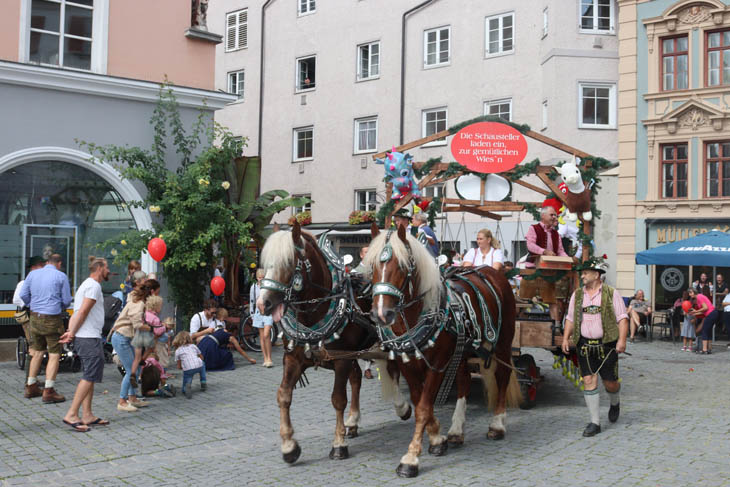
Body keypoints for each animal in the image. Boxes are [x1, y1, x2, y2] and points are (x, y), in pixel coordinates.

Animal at [256, 221, 406, 466]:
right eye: (265, 263)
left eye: (287, 262)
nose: (262, 303)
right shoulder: (294, 358)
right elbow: (284, 395)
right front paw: (289, 446)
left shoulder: (340, 359)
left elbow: (338, 399)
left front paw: (338, 445)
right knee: (357, 378)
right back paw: (352, 422)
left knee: (392, 370)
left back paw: (401, 407)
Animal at [364, 223, 516, 478]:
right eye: (372, 265)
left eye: (402, 266)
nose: (381, 314)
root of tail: (493, 272)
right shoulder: (408, 365)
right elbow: (419, 402)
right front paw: (437, 438)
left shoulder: (438, 364)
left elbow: (424, 407)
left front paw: (411, 458)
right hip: (463, 350)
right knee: (464, 380)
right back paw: (456, 430)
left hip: (504, 343)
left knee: (503, 376)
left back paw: (497, 424)